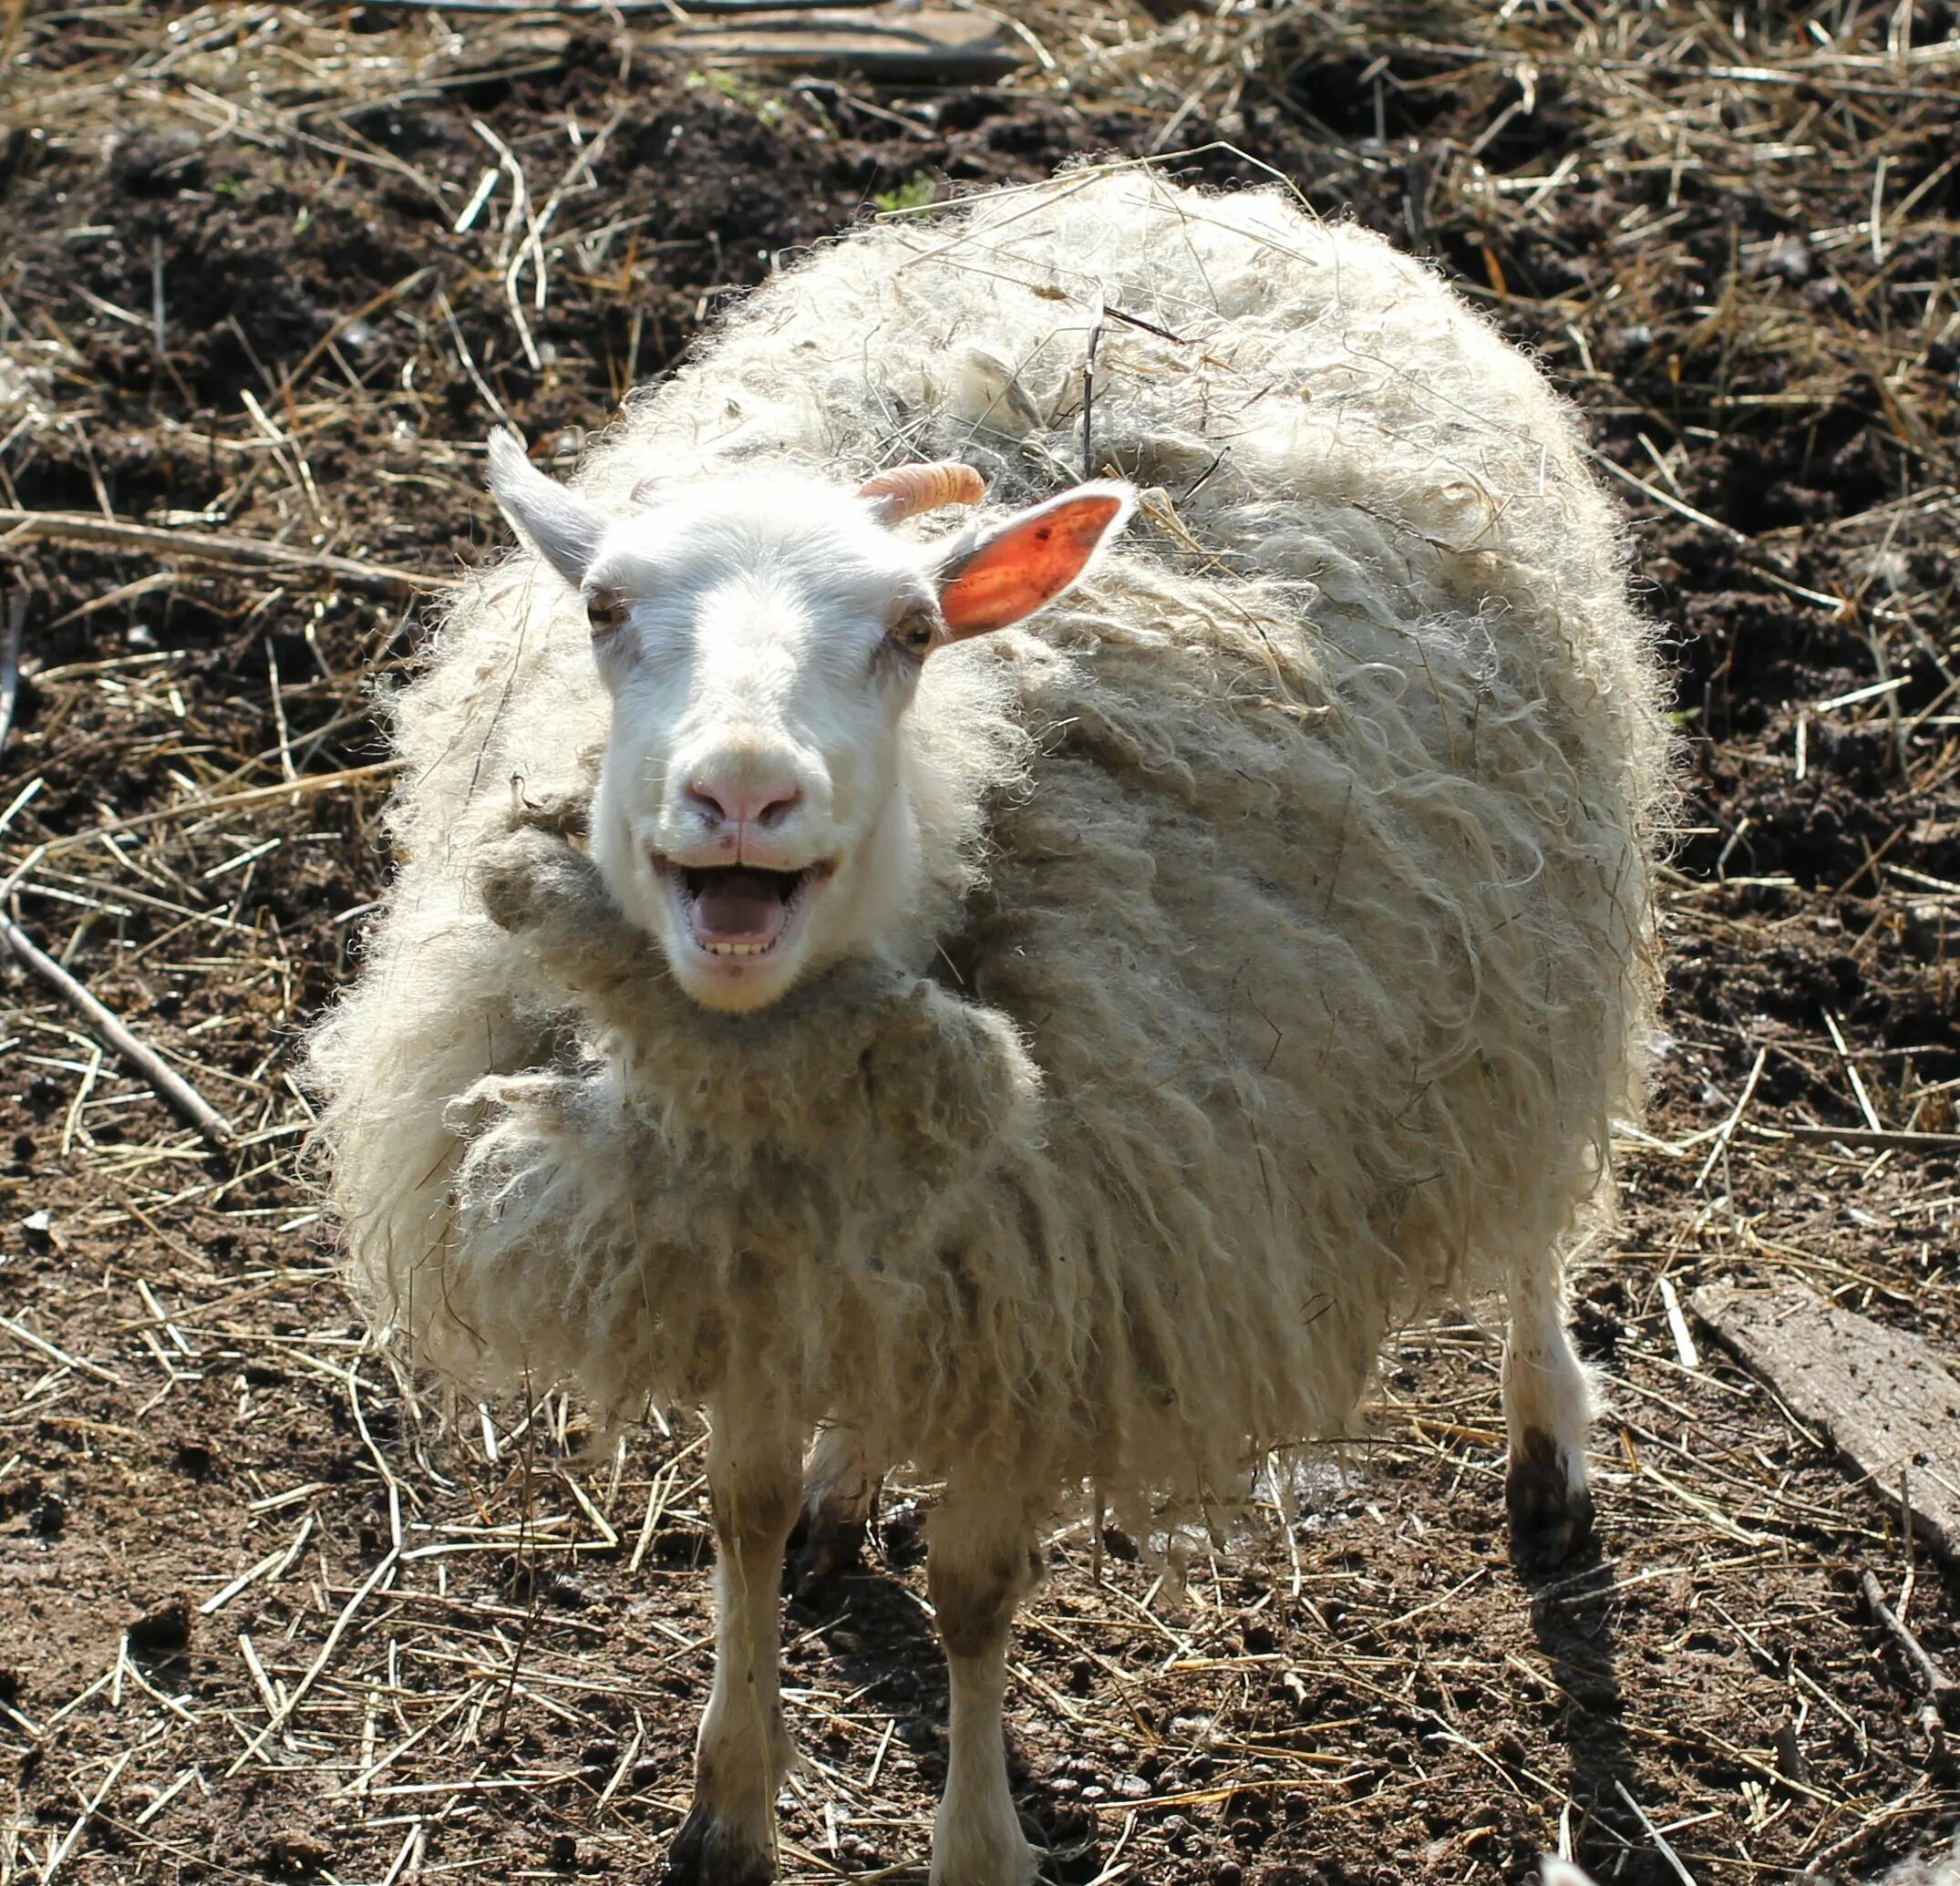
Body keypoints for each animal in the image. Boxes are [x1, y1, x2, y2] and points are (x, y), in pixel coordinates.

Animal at [307, 165, 1670, 1886]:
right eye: (608, 607)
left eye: (906, 630)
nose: (741, 790)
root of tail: (1189, 196)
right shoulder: (755, 1271)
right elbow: (739, 1509)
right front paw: (726, 1806)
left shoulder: (1063, 1304)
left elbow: (973, 1598)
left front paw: (976, 1840)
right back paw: (846, 1488)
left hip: (1530, 958)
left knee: (1538, 1218)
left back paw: (1547, 1453)